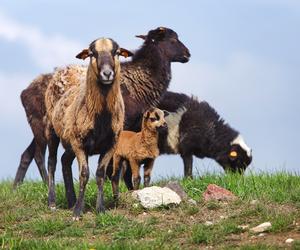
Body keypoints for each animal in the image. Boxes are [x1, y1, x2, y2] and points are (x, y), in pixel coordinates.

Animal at [14, 26, 190, 193]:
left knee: (28, 154)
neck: (139, 83)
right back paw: (46, 184)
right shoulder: (121, 126)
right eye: (173, 40)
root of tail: (25, 92)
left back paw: (18, 186)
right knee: (39, 154)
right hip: (42, 125)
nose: (188, 54)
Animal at [44, 37, 132, 219]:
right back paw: (53, 202)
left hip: (69, 139)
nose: (107, 73)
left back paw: (71, 200)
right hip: (51, 129)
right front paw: (78, 211)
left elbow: (100, 175)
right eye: (93, 53)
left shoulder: (111, 145)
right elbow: (84, 175)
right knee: (52, 162)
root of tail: (66, 67)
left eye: (117, 52)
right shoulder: (79, 143)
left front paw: (100, 209)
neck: (101, 117)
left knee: (64, 161)